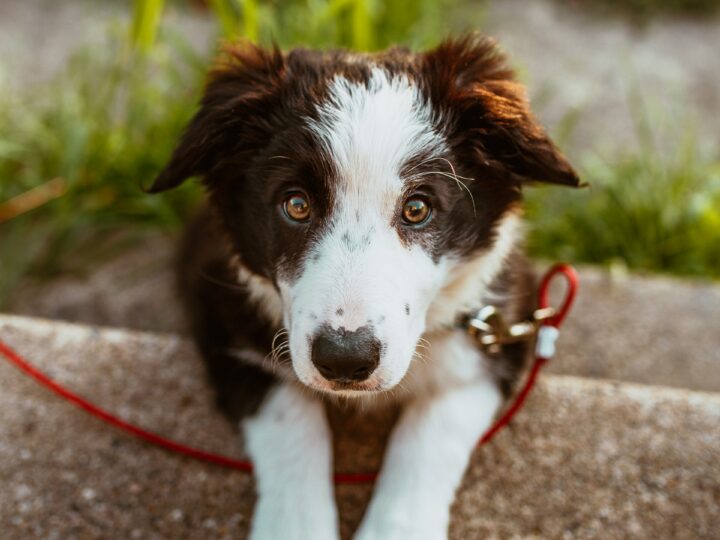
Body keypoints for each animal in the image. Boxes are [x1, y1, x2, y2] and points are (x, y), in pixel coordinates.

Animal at [148, 34, 580, 540]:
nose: (345, 360)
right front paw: (296, 528)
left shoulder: (498, 330)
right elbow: (291, 419)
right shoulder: (223, 315)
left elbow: (431, 435)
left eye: (417, 208)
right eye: (296, 204)